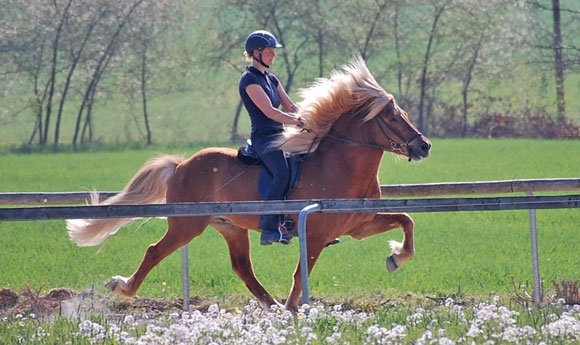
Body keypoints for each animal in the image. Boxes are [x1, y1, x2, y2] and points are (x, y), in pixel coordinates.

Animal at [67, 57, 430, 312]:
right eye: (392, 117)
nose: (424, 146)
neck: (339, 165)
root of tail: (182, 165)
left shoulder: (359, 225)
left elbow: (407, 220)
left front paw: (397, 257)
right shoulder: (315, 233)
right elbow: (302, 272)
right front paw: (294, 307)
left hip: (230, 226)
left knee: (242, 268)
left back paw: (272, 307)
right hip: (187, 224)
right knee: (155, 251)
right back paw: (122, 286)